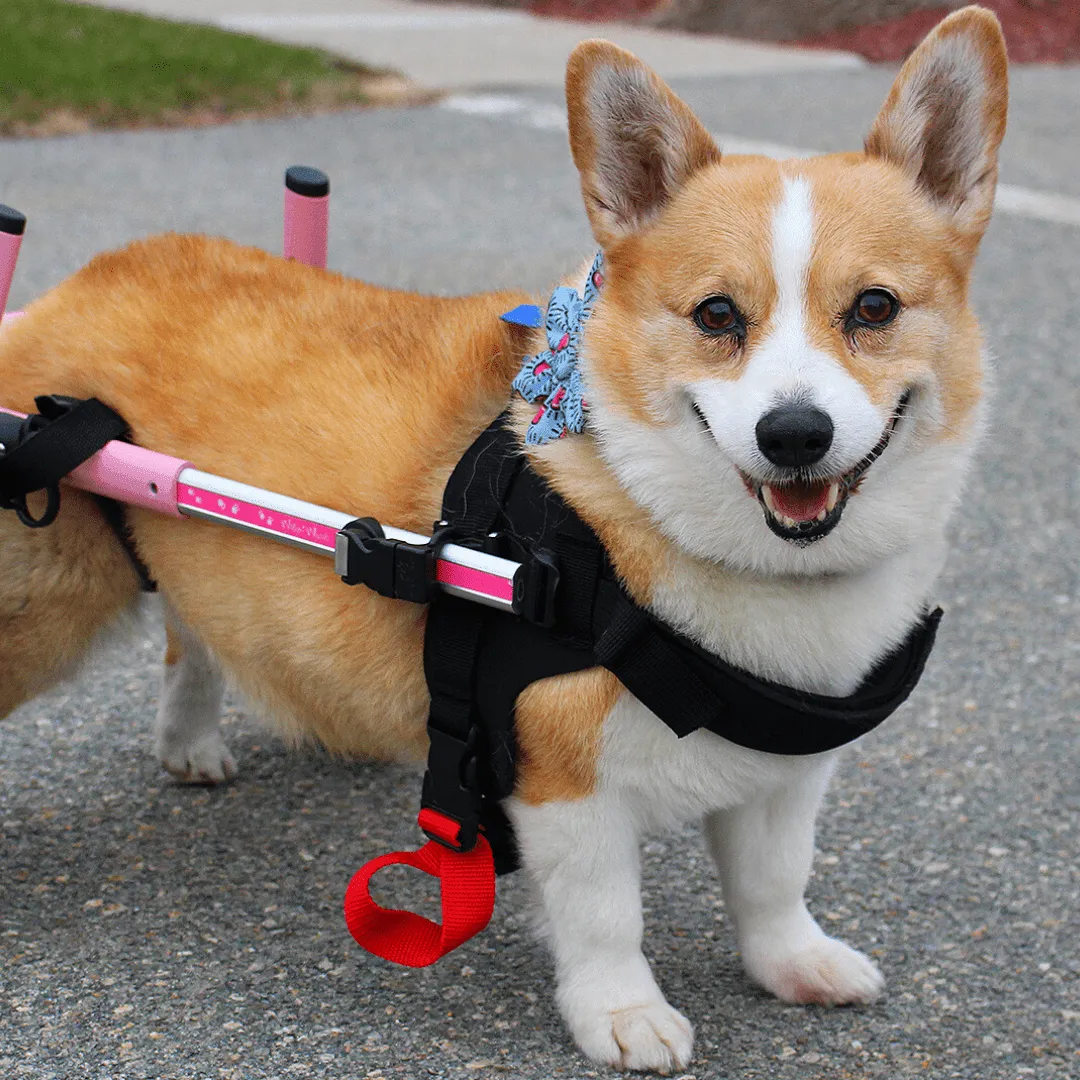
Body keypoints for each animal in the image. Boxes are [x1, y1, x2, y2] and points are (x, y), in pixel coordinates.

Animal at [2, 6, 1010, 1071]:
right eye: (716, 314)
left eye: (874, 308)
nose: (795, 436)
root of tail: (79, 281)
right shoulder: (565, 781)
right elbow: (607, 918)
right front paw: (624, 1016)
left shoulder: (784, 777)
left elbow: (775, 882)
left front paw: (797, 967)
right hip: (42, 598)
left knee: (192, 634)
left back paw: (190, 744)